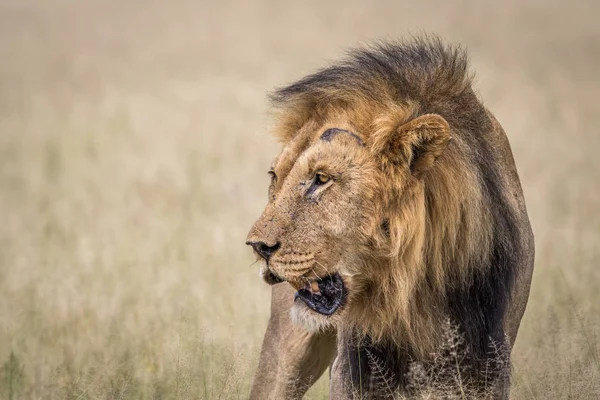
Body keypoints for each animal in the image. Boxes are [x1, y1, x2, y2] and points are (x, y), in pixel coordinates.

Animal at [244, 36, 536, 396]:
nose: (257, 247)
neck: (418, 292)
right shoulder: (356, 374)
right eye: (276, 176)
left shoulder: (488, 368)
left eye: (322, 178)